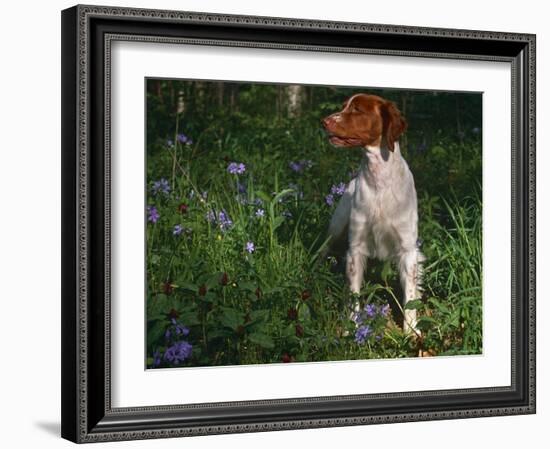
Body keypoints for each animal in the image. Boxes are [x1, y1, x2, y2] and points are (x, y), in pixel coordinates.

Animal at [322, 93, 424, 332]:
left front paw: (411, 331)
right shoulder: (356, 247)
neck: (380, 182)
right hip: (337, 227)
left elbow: (410, 296)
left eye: (357, 109)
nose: (324, 121)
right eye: (344, 107)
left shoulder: (408, 249)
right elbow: (354, 294)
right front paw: (352, 327)